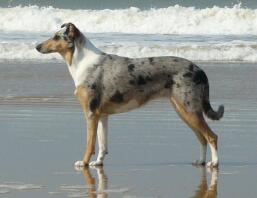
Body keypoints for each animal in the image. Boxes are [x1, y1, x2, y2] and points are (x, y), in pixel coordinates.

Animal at [35, 22, 223, 167]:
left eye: (57, 37)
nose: (37, 46)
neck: (82, 62)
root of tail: (200, 70)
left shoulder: (90, 113)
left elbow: (90, 143)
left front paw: (84, 162)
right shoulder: (101, 115)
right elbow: (102, 144)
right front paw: (98, 163)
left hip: (190, 110)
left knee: (211, 136)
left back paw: (214, 163)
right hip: (183, 111)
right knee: (202, 138)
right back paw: (200, 161)